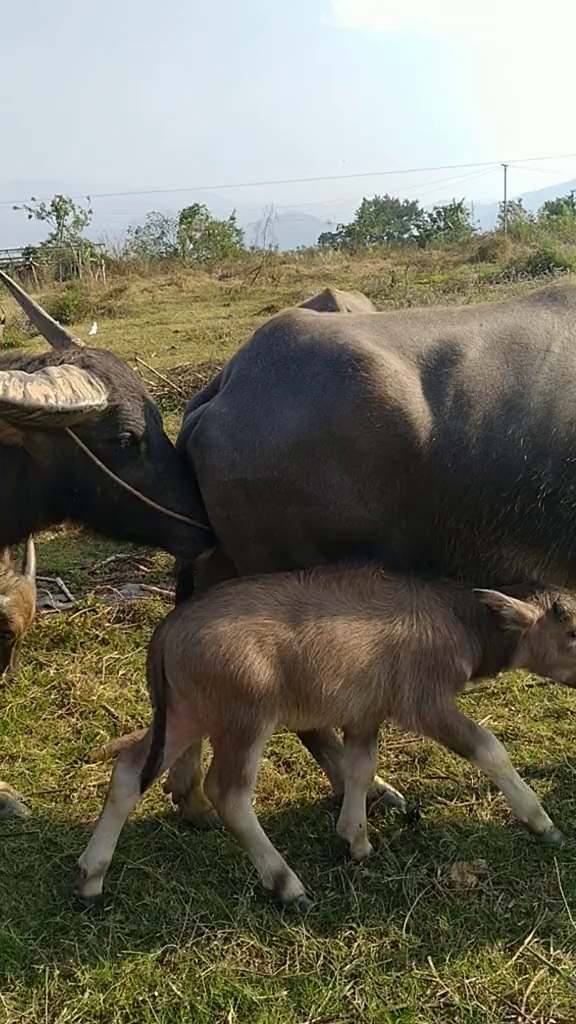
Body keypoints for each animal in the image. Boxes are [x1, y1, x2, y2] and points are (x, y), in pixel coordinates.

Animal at [76, 569, 573, 913]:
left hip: (186, 717)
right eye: (571, 630)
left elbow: (360, 766)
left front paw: (355, 839)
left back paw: (90, 879)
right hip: (245, 720)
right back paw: (286, 885)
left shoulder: (365, 713)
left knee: (128, 770)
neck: (456, 620)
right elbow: (489, 747)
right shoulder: (426, 705)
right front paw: (542, 822)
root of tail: (167, 632)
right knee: (228, 793)